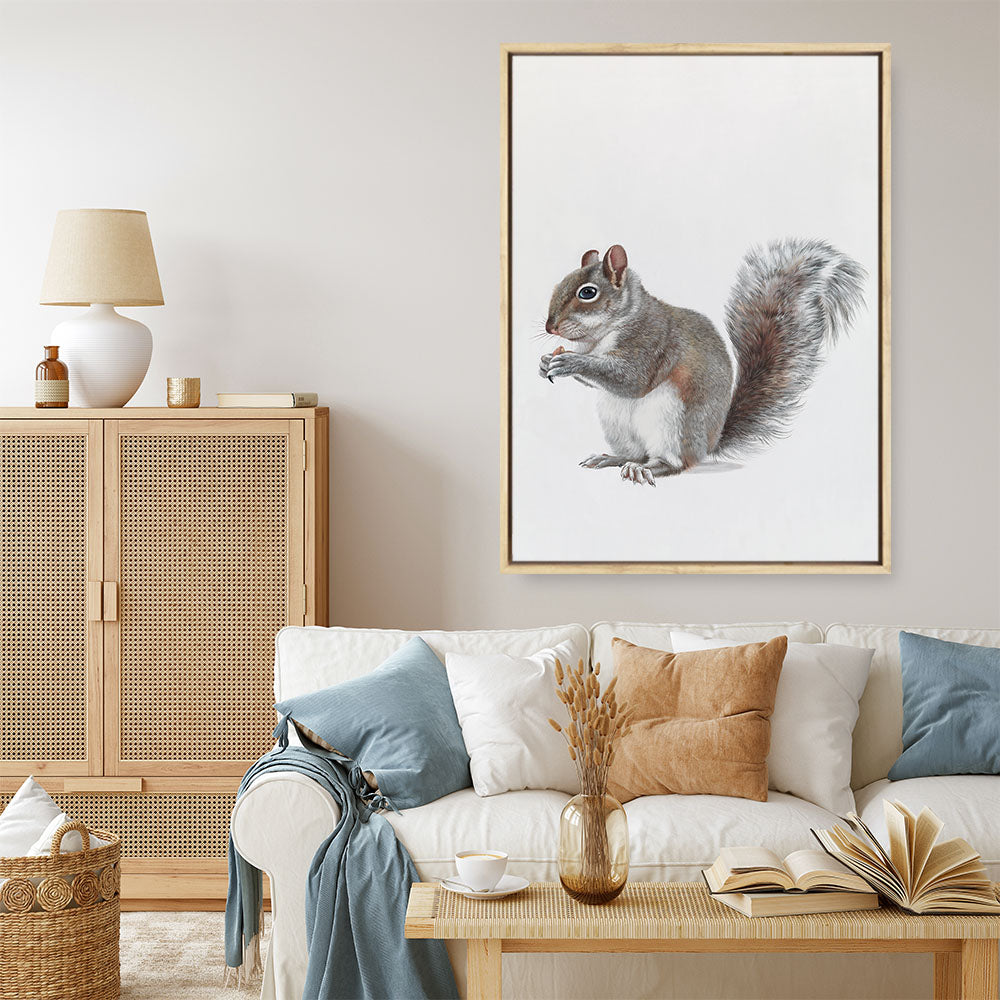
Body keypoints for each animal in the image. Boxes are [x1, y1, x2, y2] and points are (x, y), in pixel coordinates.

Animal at [539, 239, 866, 485]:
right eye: (558, 284)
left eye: (588, 293)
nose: (549, 327)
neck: (601, 335)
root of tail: (708, 445)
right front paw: (545, 363)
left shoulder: (652, 342)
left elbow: (632, 379)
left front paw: (570, 362)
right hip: (615, 421)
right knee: (636, 452)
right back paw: (613, 458)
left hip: (672, 421)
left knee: (672, 463)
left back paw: (645, 469)